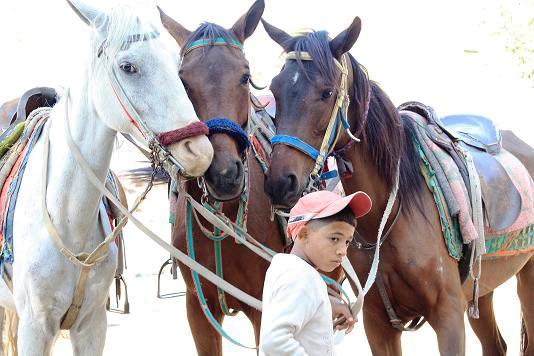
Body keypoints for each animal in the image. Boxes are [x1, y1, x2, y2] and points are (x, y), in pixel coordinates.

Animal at [0, 1, 216, 354]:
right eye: (128, 67)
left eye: (177, 67)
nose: (200, 152)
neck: (67, 220)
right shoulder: (36, 327)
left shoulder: (92, 324)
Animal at [262, 16, 532, 356]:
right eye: (275, 90)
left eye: (326, 92)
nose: (280, 182)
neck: (389, 219)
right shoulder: (377, 324)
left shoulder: (449, 316)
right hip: (481, 290)